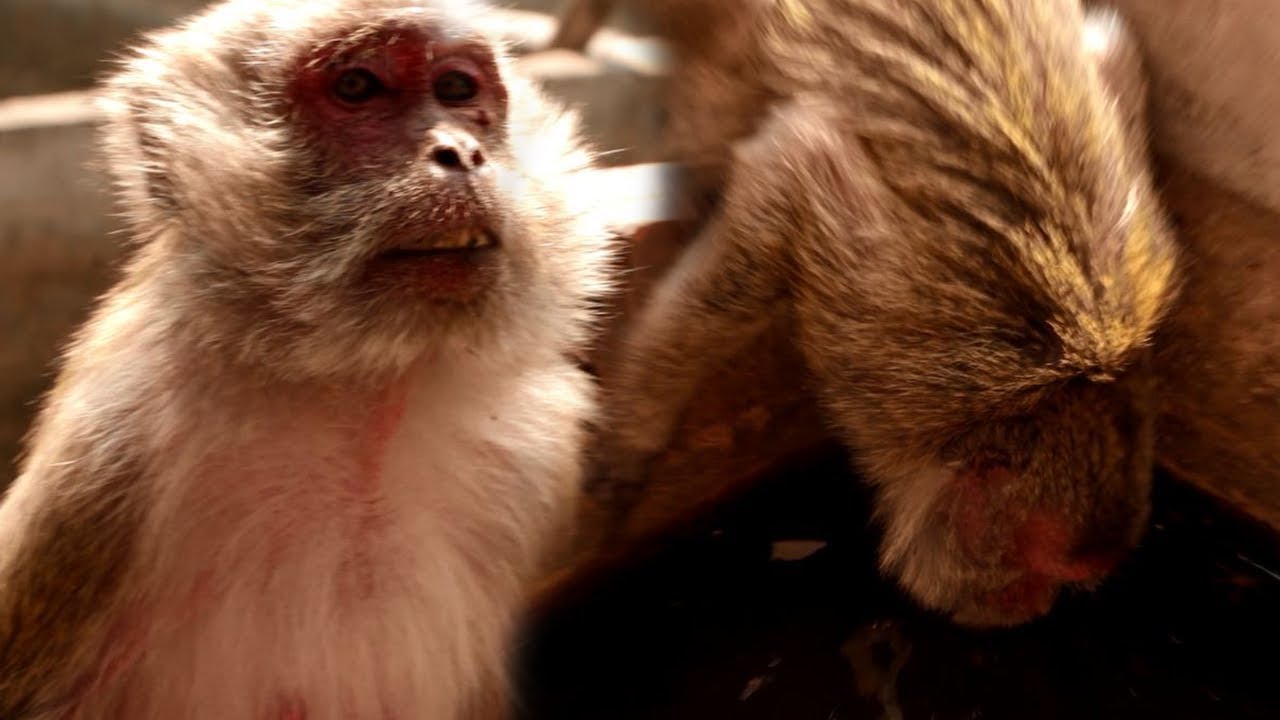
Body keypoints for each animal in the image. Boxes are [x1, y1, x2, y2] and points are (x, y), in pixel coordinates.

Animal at [0, 0, 614, 717]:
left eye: (457, 90)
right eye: (356, 87)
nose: (459, 152)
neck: (365, 392)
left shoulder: (543, 441)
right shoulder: (110, 453)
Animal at [590, 0, 1181, 628]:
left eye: (1066, 582)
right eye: (1040, 570)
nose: (1035, 604)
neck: (1067, 379)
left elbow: (1109, 47)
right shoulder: (881, 330)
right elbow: (789, 174)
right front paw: (634, 432)